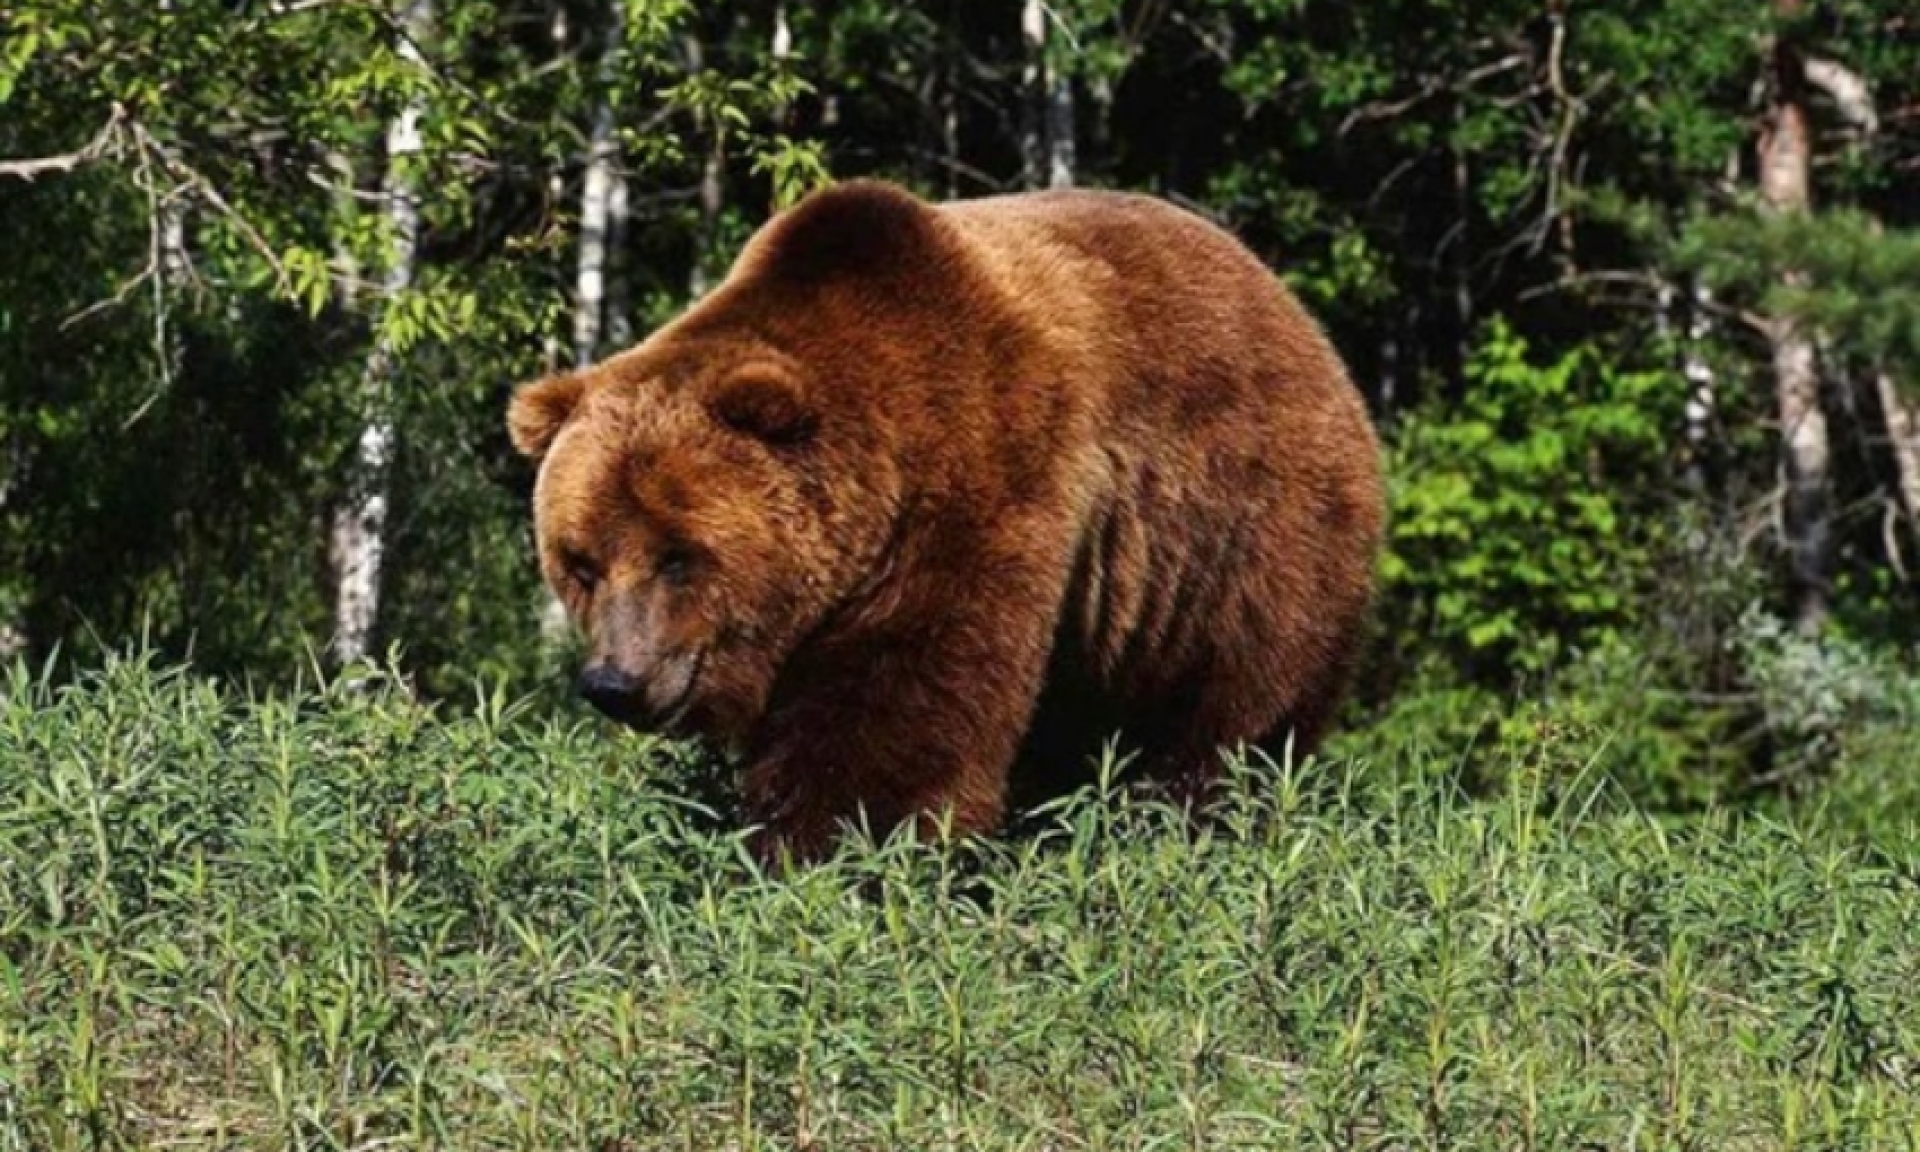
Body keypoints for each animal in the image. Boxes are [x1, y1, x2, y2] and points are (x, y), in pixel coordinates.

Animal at [510, 180, 1382, 860]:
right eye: (580, 563)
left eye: (680, 556)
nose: (614, 682)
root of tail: (1302, 319)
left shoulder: (978, 488)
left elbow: (901, 710)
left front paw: (829, 848)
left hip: (1246, 538)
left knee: (1232, 711)